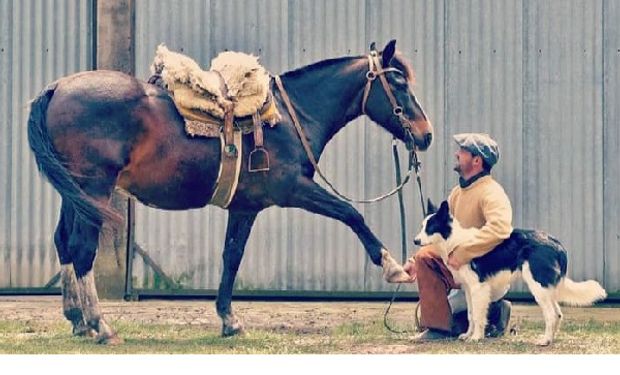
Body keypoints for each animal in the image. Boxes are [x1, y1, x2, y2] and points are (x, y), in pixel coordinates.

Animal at [27, 40, 432, 344]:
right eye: (399, 84)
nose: (426, 135)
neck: (290, 117)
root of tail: (57, 88)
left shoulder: (245, 206)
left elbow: (231, 256)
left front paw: (229, 320)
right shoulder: (294, 190)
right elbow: (351, 213)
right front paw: (394, 268)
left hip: (76, 195)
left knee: (64, 243)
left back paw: (77, 319)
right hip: (94, 189)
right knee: (82, 249)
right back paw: (100, 325)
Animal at [412, 201, 604, 346]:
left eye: (430, 227)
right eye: (421, 226)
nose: (415, 240)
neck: (455, 241)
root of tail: (556, 243)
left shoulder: (479, 288)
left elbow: (479, 315)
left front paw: (476, 337)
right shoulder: (468, 288)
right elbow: (471, 314)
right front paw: (468, 335)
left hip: (538, 286)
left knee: (551, 314)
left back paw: (545, 341)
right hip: (544, 288)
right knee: (557, 313)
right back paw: (551, 339)